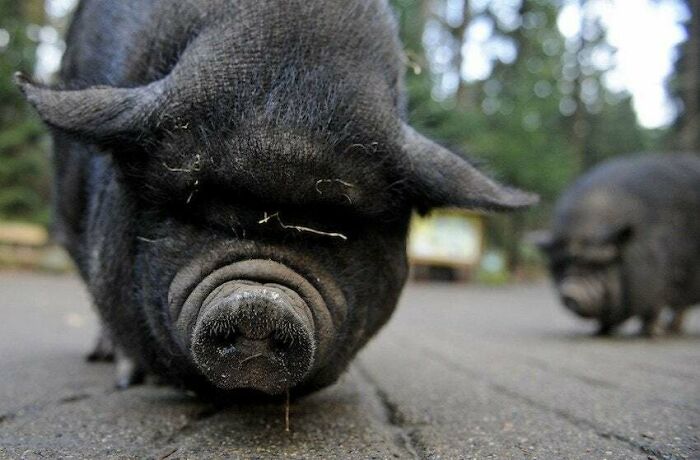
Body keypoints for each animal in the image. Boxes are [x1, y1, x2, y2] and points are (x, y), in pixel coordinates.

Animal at [538, 154, 700, 336]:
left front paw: (652, 334)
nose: (571, 293)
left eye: (598, 264)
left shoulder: (659, 282)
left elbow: (654, 309)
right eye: (562, 264)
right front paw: (599, 333)